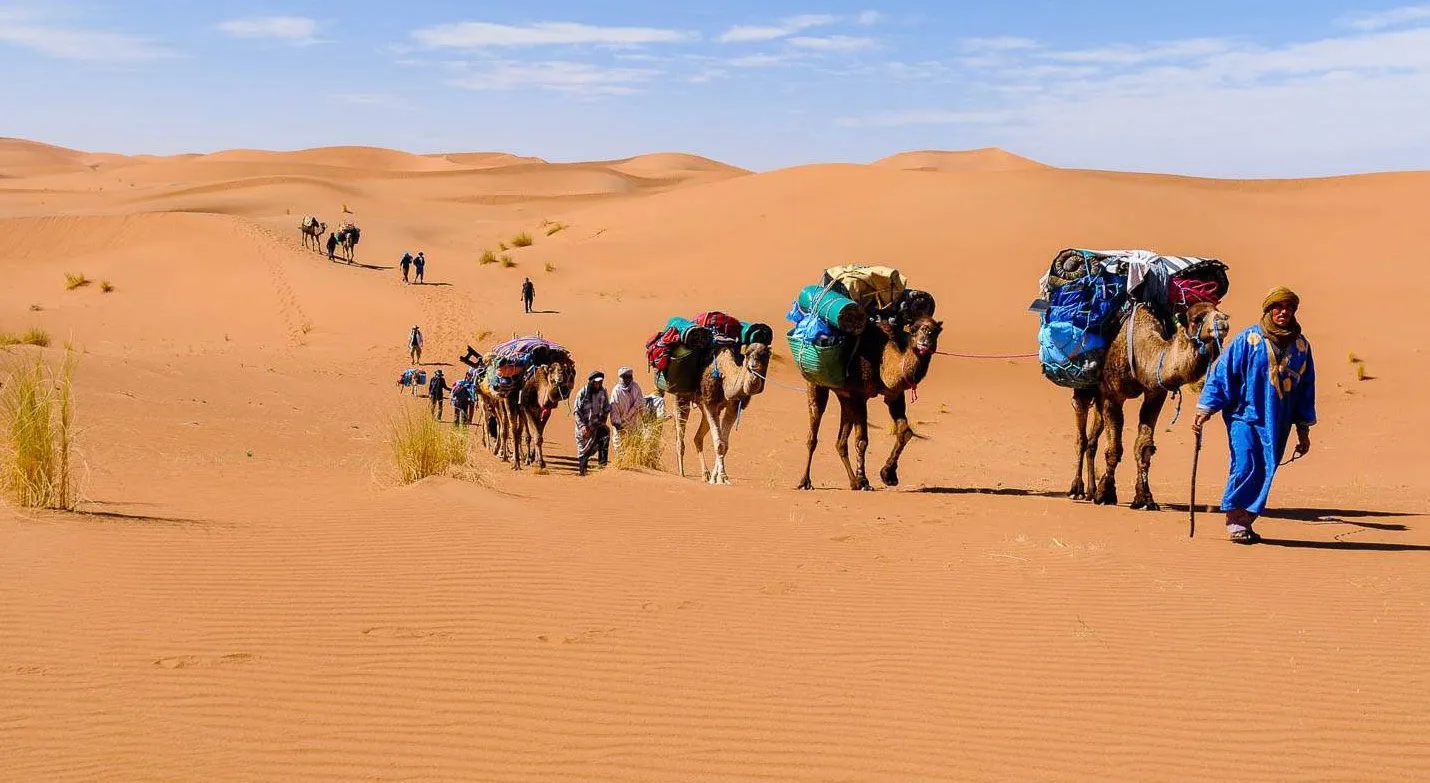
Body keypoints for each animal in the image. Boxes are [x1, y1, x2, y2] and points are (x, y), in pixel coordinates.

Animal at [670, 341, 771, 485]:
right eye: (747, 354)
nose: (753, 366)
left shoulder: (732, 407)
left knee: (697, 437)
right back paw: (681, 474)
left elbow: (724, 445)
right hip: (681, 396)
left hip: (703, 408)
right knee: (680, 435)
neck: (725, 378)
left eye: (765, 355)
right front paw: (721, 477)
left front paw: (717, 477)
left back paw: (705, 474)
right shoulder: (710, 402)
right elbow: (719, 443)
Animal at [796, 316, 943, 491]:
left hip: (844, 396)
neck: (884, 360)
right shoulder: (860, 396)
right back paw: (805, 481)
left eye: (936, 331)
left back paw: (853, 482)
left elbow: (905, 431)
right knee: (813, 432)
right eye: (914, 329)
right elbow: (861, 440)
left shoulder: (894, 395)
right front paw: (864, 480)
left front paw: (888, 475)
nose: (925, 341)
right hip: (815, 384)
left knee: (840, 442)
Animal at [1069, 301, 1230, 510]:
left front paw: (1144, 499)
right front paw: (1106, 494)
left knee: (1092, 438)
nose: (1223, 321)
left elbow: (1144, 447)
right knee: (1081, 433)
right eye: (1196, 318)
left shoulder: (1155, 394)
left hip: (1099, 397)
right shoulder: (1113, 395)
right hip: (1085, 385)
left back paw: (1090, 490)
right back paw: (1077, 489)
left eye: (1218, 311)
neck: (1143, 353)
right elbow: (1114, 449)